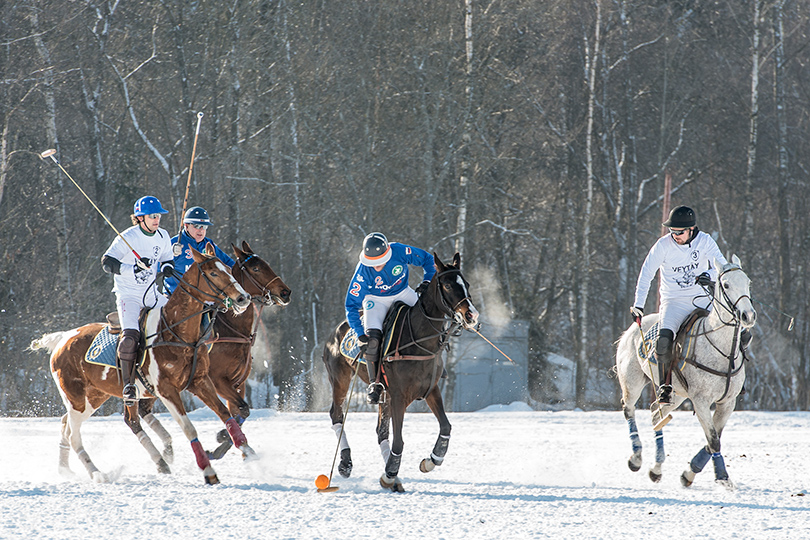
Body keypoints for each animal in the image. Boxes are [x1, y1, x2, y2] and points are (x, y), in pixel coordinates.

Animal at [29, 245, 249, 486]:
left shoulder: (200, 381)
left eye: (228, 267)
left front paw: (252, 454)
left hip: (93, 397)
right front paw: (209, 472)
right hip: (76, 396)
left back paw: (66, 468)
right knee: (74, 434)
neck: (176, 332)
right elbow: (189, 428)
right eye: (213, 273)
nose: (243, 298)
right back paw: (97, 473)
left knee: (68, 422)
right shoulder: (166, 390)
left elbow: (227, 415)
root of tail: (62, 339)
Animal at [320, 253, 476, 494]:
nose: (471, 316)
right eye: (448, 285)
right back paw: (346, 463)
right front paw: (390, 474)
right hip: (340, 380)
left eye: (466, 284)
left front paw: (431, 461)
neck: (421, 341)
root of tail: (336, 329)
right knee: (336, 414)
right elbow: (399, 441)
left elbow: (446, 427)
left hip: (384, 396)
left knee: (380, 431)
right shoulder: (399, 396)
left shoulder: (431, 390)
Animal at [616, 254, 756, 490]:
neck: (722, 350)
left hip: (677, 394)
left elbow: (714, 438)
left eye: (748, 283)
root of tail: (634, 327)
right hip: (632, 381)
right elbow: (713, 440)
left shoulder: (728, 402)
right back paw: (636, 458)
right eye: (726, 285)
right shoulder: (700, 400)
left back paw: (656, 469)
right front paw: (721, 476)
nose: (748, 316)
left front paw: (689, 473)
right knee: (629, 409)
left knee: (656, 413)